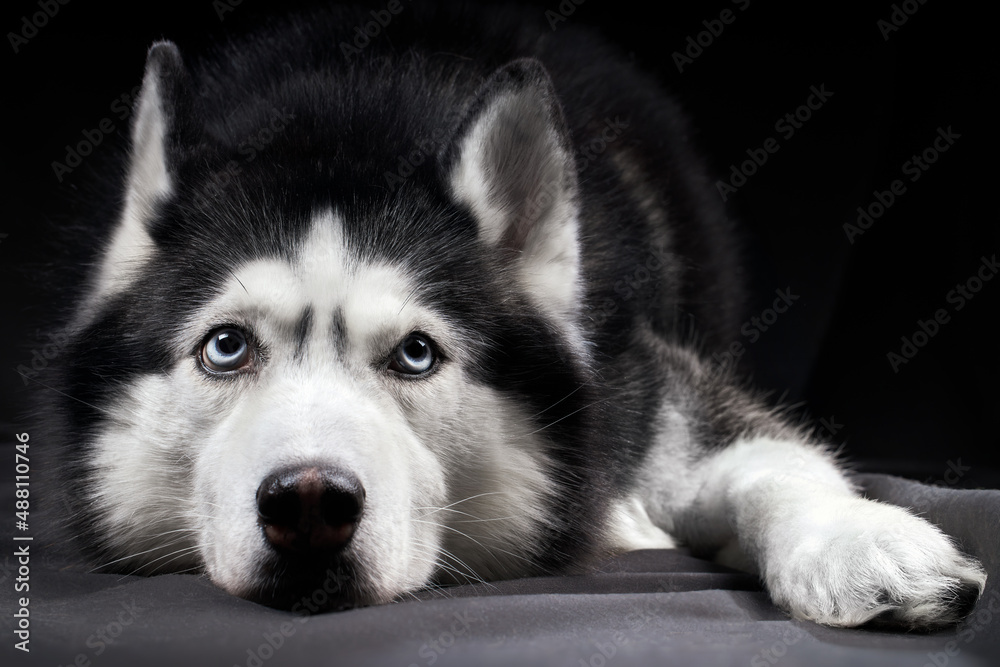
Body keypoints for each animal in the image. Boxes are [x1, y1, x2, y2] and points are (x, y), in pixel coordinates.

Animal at [45, 3, 984, 632]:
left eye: (417, 354)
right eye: (226, 347)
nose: (309, 504)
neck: (351, 121)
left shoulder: (644, 385)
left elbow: (766, 456)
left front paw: (857, 536)